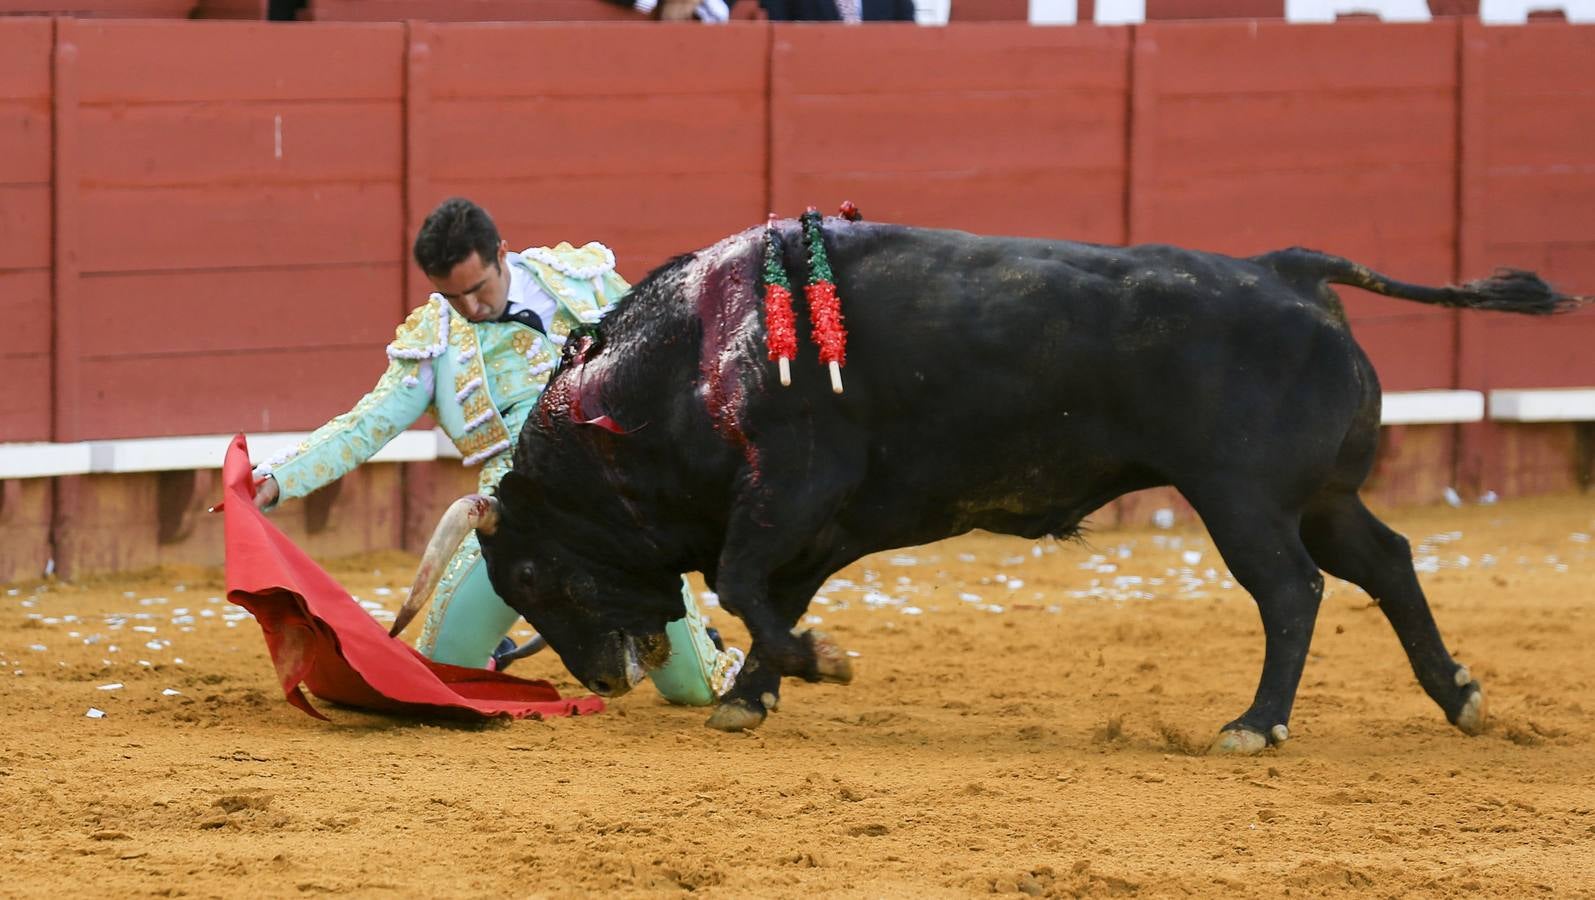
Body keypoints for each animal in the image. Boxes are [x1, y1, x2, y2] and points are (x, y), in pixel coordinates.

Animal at [389, 220, 1582, 753]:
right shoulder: (822, 520)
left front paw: (812, 666)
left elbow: (739, 584)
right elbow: (769, 596)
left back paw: (1252, 725)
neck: (686, 364)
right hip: (1321, 496)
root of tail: (1284, 271)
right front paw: (754, 693)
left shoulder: (792, 488)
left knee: (1291, 590)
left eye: (534, 571)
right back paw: (1459, 695)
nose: (609, 676)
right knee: (1386, 560)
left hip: (1241, 501)